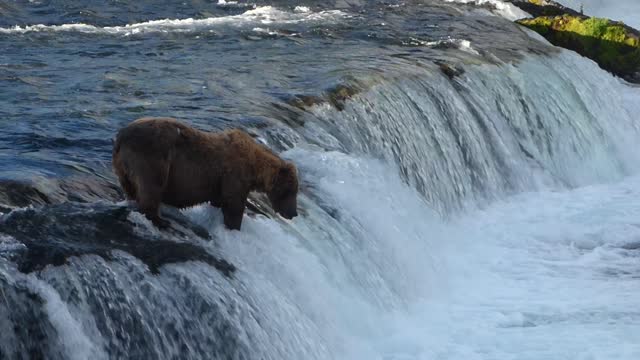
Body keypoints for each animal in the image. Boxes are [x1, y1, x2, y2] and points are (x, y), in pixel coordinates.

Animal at [112, 118, 298, 231]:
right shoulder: (234, 176)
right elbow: (234, 206)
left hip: (123, 168)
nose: (294, 213)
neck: (255, 168)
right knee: (152, 187)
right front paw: (234, 226)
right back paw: (161, 220)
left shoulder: (220, 183)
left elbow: (219, 201)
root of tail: (121, 136)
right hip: (154, 157)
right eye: (290, 191)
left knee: (131, 189)